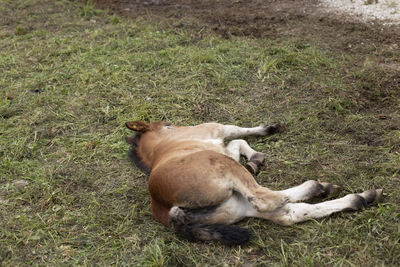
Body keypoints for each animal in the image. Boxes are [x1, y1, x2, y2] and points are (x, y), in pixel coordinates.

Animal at [125, 121, 382, 245]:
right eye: (167, 125)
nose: (178, 126)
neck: (163, 146)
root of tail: (166, 209)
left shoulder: (222, 146)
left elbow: (236, 142)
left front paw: (255, 160)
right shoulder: (215, 129)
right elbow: (235, 132)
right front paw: (267, 134)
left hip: (234, 206)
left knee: (288, 213)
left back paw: (354, 196)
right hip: (225, 172)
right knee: (267, 200)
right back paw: (322, 189)